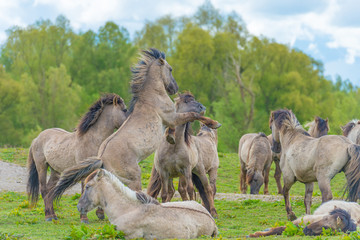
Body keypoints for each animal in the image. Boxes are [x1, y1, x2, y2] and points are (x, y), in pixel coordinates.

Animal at [49, 48, 221, 223]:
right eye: (170, 69)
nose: (174, 88)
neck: (152, 95)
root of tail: (101, 158)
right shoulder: (172, 117)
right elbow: (193, 114)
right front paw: (213, 123)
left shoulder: (170, 120)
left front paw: (172, 137)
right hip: (134, 177)